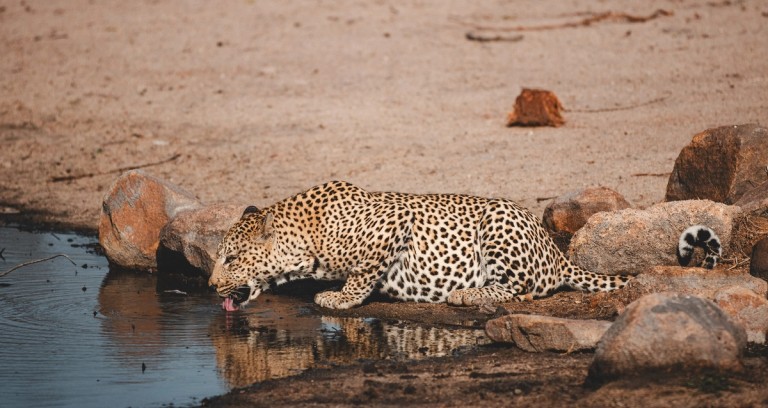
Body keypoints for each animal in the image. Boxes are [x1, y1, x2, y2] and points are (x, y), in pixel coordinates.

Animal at [209, 181, 631, 310]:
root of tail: (557, 253)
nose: (211, 286)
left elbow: (361, 275)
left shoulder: (396, 221)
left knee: (520, 287)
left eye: (231, 258)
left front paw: (339, 298)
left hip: (498, 221)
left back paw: (467, 294)